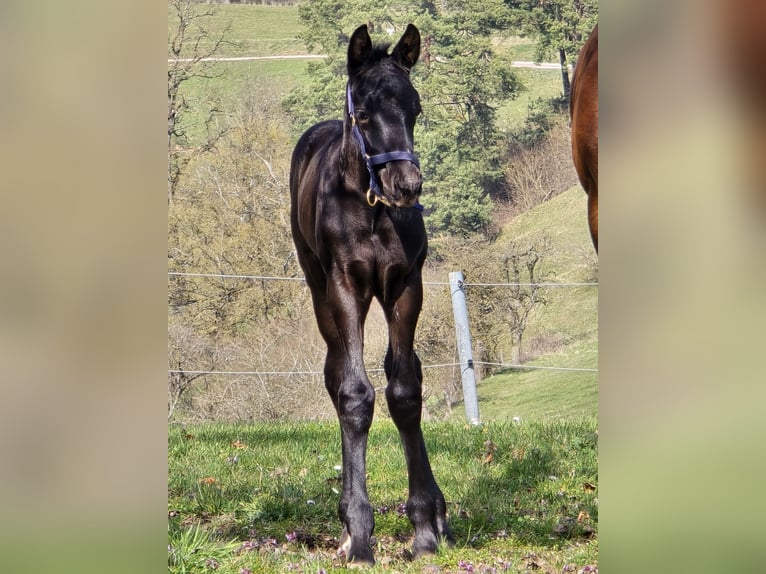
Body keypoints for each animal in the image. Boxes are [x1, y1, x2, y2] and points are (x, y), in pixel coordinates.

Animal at [289, 24, 454, 565]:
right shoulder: (345, 286)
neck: (373, 208)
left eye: (415, 108)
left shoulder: (405, 285)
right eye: (362, 114)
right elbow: (356, 394)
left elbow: (404, 390)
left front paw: (424, 526)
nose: (407, 185)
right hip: (320, 291)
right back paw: (345, 527)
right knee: (336, 374)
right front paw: (359, 533)